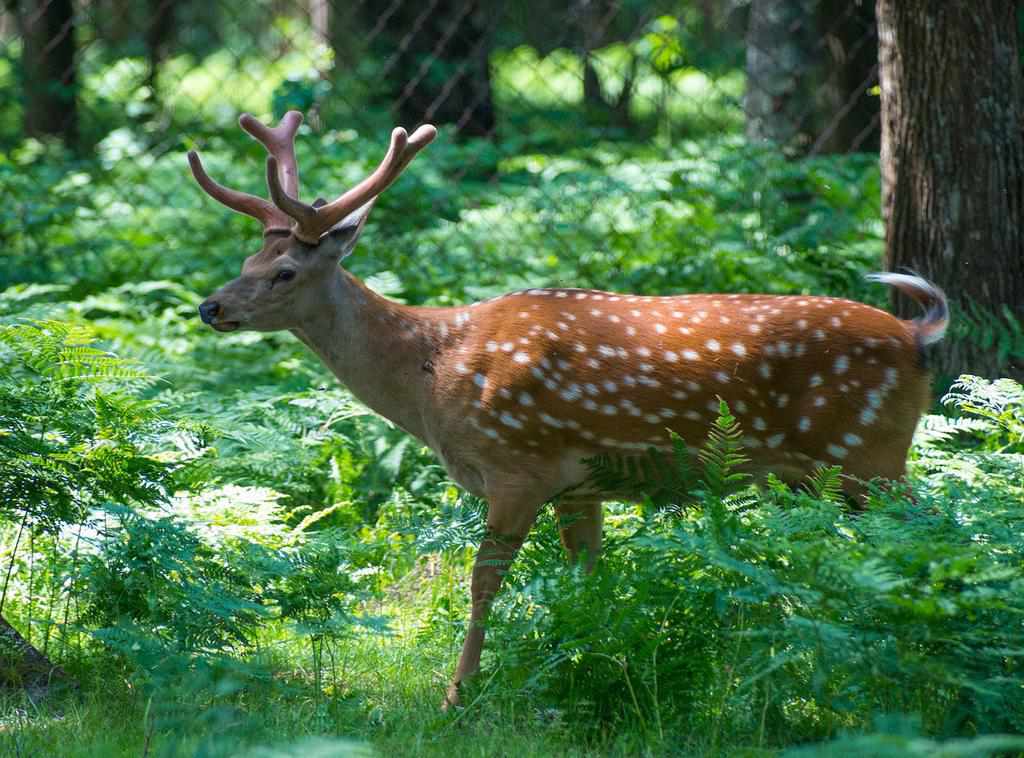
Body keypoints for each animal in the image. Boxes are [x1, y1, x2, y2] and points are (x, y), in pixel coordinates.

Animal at [186, 109, 950, 708]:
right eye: (247, 262)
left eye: (285, 273)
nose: (211, 306)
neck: (433, 379)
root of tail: (918, 336)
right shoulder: (579, 483)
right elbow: (589, 582)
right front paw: (594, 664)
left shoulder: (517, 465)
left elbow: (482, 584)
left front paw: (459, 694)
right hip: (834, 469)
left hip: (867, 451)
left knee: (937, 531)